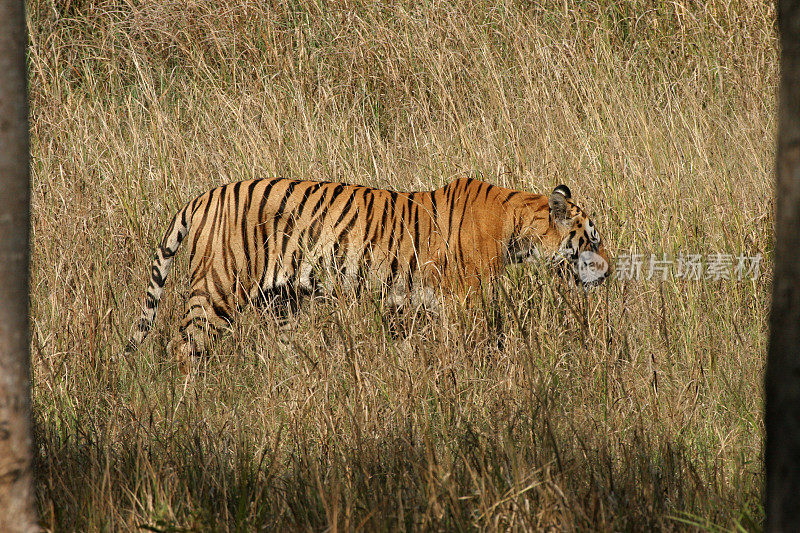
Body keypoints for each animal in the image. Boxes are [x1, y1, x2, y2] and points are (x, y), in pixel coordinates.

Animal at [123, 177, 612, 368]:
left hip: (283, 303)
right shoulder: (465, 298)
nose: (608, 272)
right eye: (591, 239)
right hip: (217, 290)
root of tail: (206, 194)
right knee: (182, 347)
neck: (517, 224)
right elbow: (479, 341)